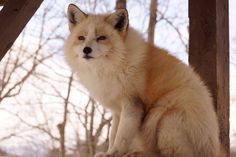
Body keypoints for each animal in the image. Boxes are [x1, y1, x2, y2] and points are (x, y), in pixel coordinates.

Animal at [64, 3, 225, 157]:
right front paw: (109, 152)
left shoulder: (132, 103)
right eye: (81, 38)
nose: (86, 50)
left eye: (101, 38)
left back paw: (138, 153)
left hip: (164, 117)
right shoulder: (117, 110)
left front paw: (114, 153)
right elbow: (112, 135)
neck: (115, 65)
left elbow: (121, 136)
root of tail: (216, 148)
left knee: (170, 154)